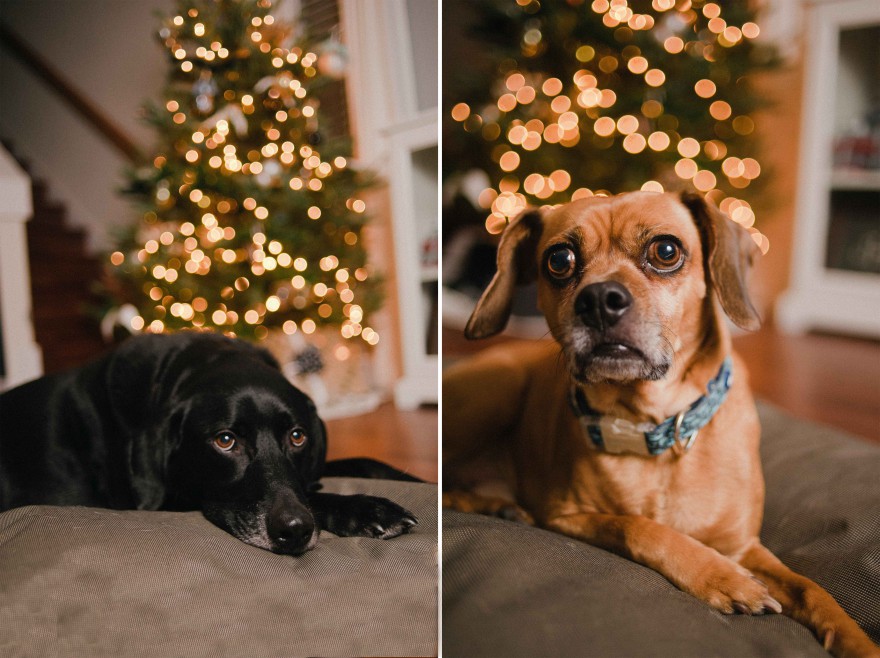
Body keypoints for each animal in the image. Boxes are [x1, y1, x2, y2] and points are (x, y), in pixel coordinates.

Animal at [0, 330, 418, 552]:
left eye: (297, 436)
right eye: (225, 440)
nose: (295, 531)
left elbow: (359, 462)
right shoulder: (166, 500)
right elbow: (314, 495)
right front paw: (368, 510)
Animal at [446, 190, 880, 656]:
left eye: (666, 251)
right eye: (559, 259)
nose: (598, 300)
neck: (653, 427)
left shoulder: (746, 547)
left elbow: (813, 590)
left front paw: (858, 642)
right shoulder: (565, 516)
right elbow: (641, 528)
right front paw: (723, 578)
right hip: (497, 390)